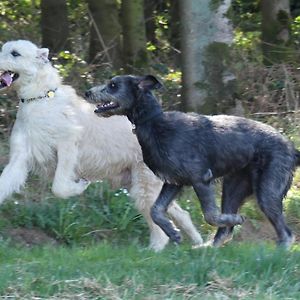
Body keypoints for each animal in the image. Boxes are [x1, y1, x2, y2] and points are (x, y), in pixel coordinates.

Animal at [0, 39, 202, 251]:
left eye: (15, 53)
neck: (39, 98)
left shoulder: (67, 146)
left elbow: (59, 187)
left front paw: (80, 186)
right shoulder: (19, 158)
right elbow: (5, 183)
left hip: (145, 186)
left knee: (160, 228)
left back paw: (154, 251)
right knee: (180, 214)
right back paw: (199, 243)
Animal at [84, 75, 300, 248]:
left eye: (113, 85)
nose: (87, 92)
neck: (154, 122)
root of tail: (292, 149)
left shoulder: (200, 179)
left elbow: (210, 216)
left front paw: (236, 218)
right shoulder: (174, 182)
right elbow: (156, 210)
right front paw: (172, 232)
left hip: (267, 191)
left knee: (286, 234)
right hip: (233, 188)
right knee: (226, 231)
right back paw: (206, 248)